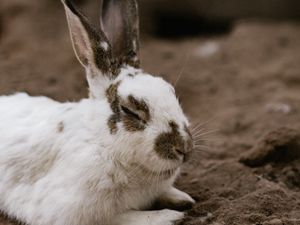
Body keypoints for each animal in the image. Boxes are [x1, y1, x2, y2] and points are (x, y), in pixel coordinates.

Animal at [0, 0, 196, 225]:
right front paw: (170, 216)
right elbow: (124, 217)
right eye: (130, 111)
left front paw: (184, 199)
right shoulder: (71, 211)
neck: (102, 143)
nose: (185, 148)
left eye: (171, 91)